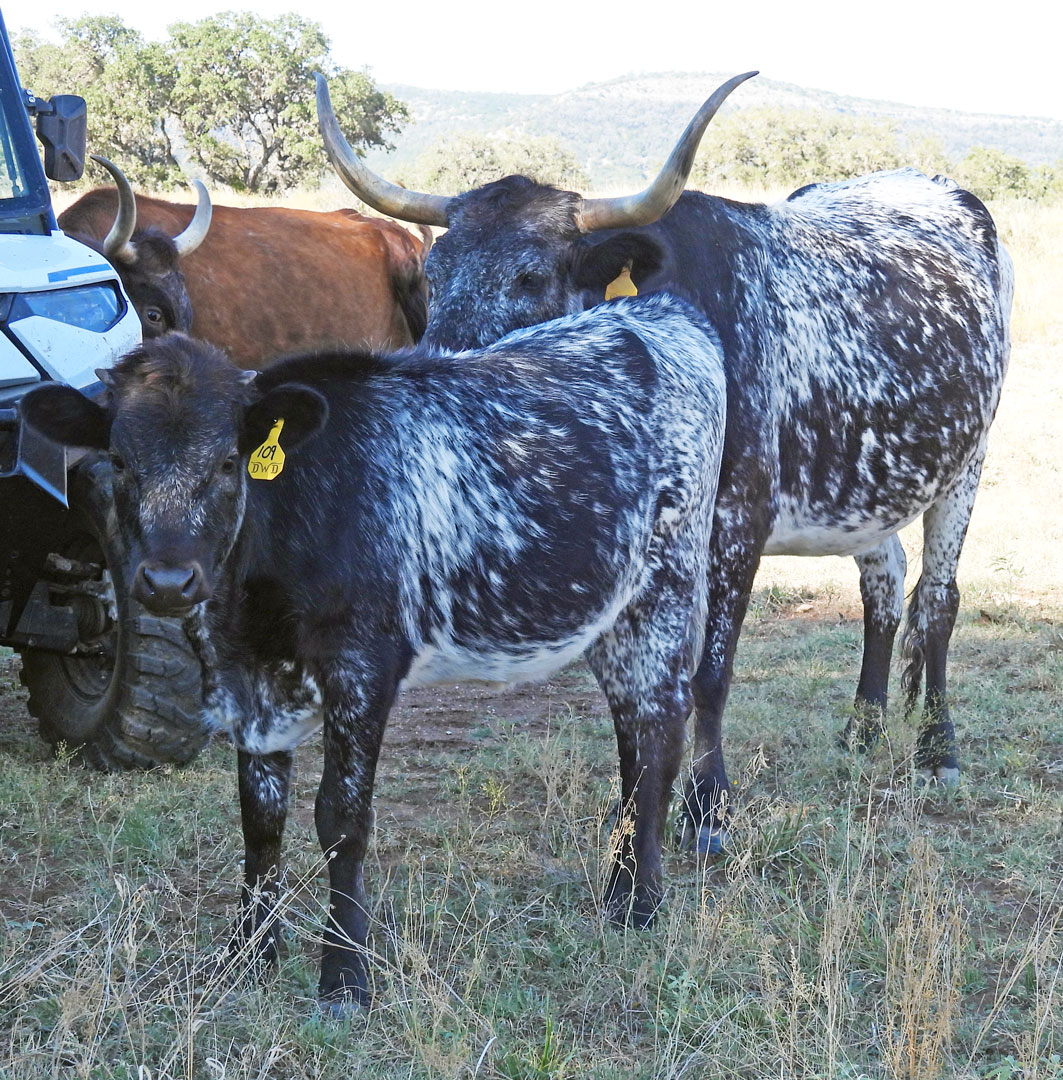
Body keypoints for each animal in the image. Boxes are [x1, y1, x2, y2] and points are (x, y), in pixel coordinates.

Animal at [20, 291, 730, 1006]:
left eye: (226, 462)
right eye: (119, 461)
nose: (167, 582)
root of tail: (657, 311)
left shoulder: (361, 666)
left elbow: (341, 817)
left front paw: (344, 975)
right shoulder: (240, 678)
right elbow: (260, 814)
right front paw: (248, 953)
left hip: (666, 588)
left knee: (659, 732)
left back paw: (640, 904)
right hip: (613, 615)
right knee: (633, 738)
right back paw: (619, 890)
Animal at [319, 73, 1015, 851]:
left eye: (530, 277)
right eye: (433, 273)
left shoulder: (738, 521)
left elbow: (709, 671)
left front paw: (708, 808)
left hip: (967, 462)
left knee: (937, 600)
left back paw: (935, 749)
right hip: (870, 484)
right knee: (885, 585)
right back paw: (861, 731)